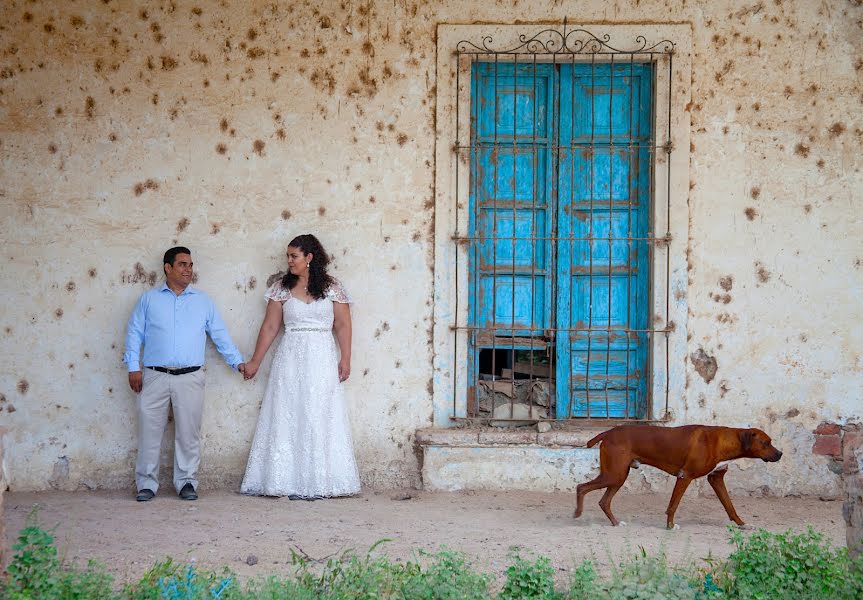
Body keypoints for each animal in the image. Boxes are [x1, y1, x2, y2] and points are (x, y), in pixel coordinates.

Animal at [572, 424, 784, 528]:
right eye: (766, 443)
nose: (780, 454)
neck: (725, 441)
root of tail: (607, 432)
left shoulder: (716, 479)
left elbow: (730, 506)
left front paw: (742, 524)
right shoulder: (685, 476)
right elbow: (673, 505)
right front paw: (670, 526)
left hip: (618, 476)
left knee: (604, 502)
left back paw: (615, 523)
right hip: (614, 475)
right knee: (581, 487)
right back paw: (578, 513)